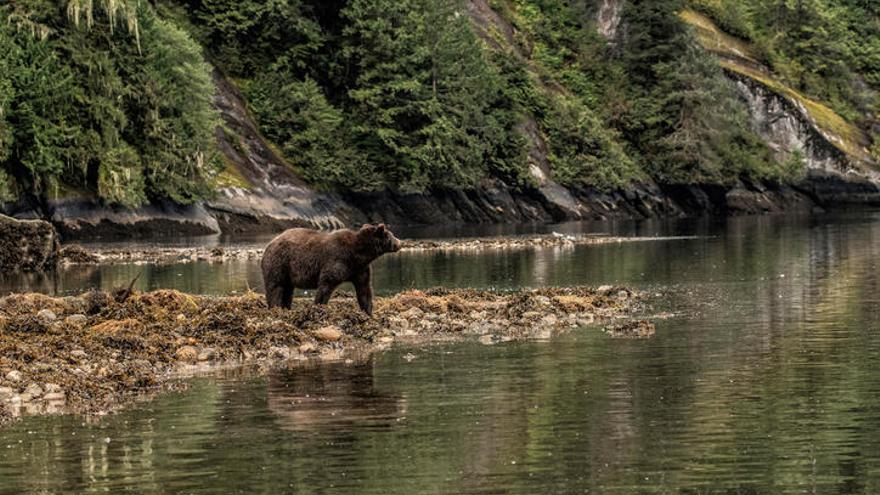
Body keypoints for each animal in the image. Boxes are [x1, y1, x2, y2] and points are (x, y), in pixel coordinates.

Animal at [260, 224, 400, 316]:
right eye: (391, 235)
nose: (400, 243)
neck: (359, 254)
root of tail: (269, 244)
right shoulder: (337, 259)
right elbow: (326, 284)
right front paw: (318, 307)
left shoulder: (359, 269)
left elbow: (364, 289)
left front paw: (368, 312)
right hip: (279, 262)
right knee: (275, 287)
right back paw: (275, 307)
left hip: (288, 271)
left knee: (288, 290)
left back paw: (286, 308)